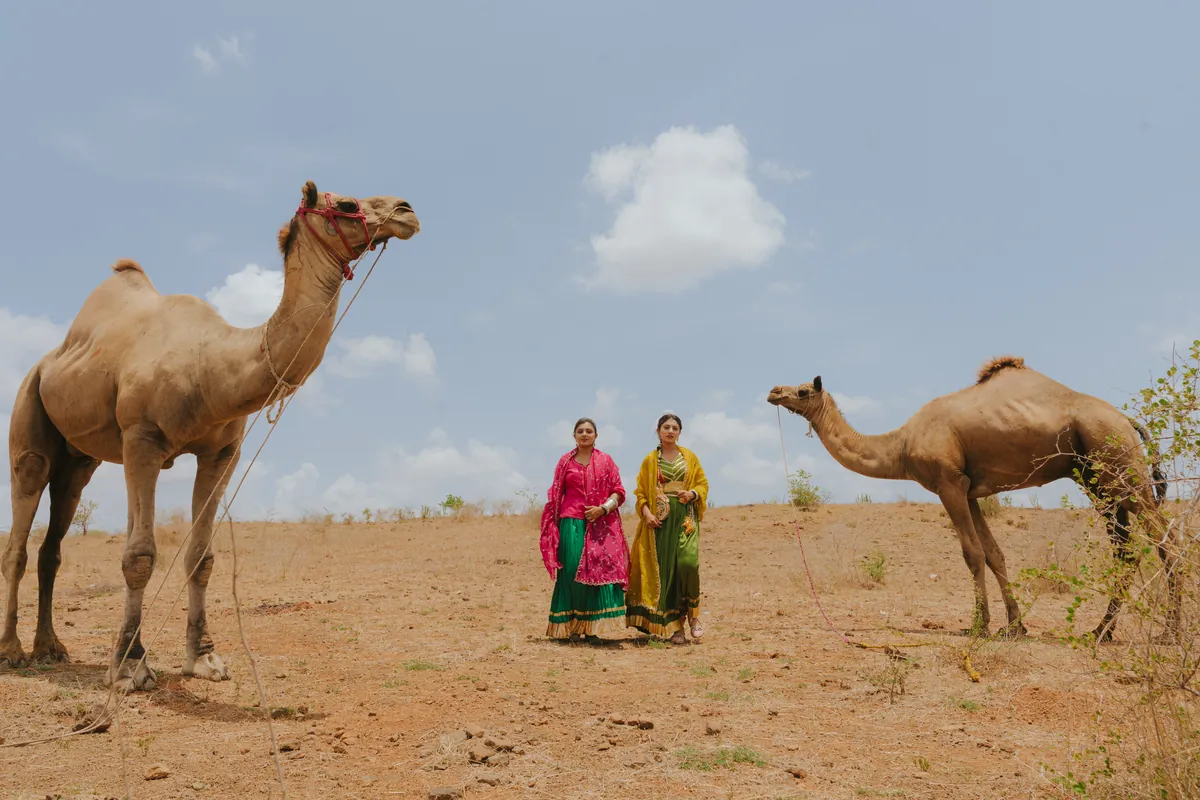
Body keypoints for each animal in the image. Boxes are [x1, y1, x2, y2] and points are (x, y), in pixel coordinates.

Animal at [2, 181, 419, 692]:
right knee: (20, 531)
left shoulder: (222, 452)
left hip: (79, 460)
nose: (406, 211)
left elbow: (201, 557)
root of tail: (46, 361)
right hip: (30, 413)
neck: (212, 364)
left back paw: (50, 648)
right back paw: (13, 651)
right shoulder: (142, 440)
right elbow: (139, 555)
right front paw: (130, 666)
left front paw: (204, 659)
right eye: (344, 204)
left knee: (54, 539)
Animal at [767, 356, 1177, 641]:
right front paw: (1015, 626)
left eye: (803, 390)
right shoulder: (972, 491)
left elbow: (972, 553)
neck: (901, 445)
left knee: (1165, 539)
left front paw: (978, 626)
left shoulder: (948, 483)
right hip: (1097, 480)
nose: (774, 391)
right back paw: (1101, 631)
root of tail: (1128, 421)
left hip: (1119, 464)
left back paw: (1167, 633)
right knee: (1124, 549)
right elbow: (995, 553)